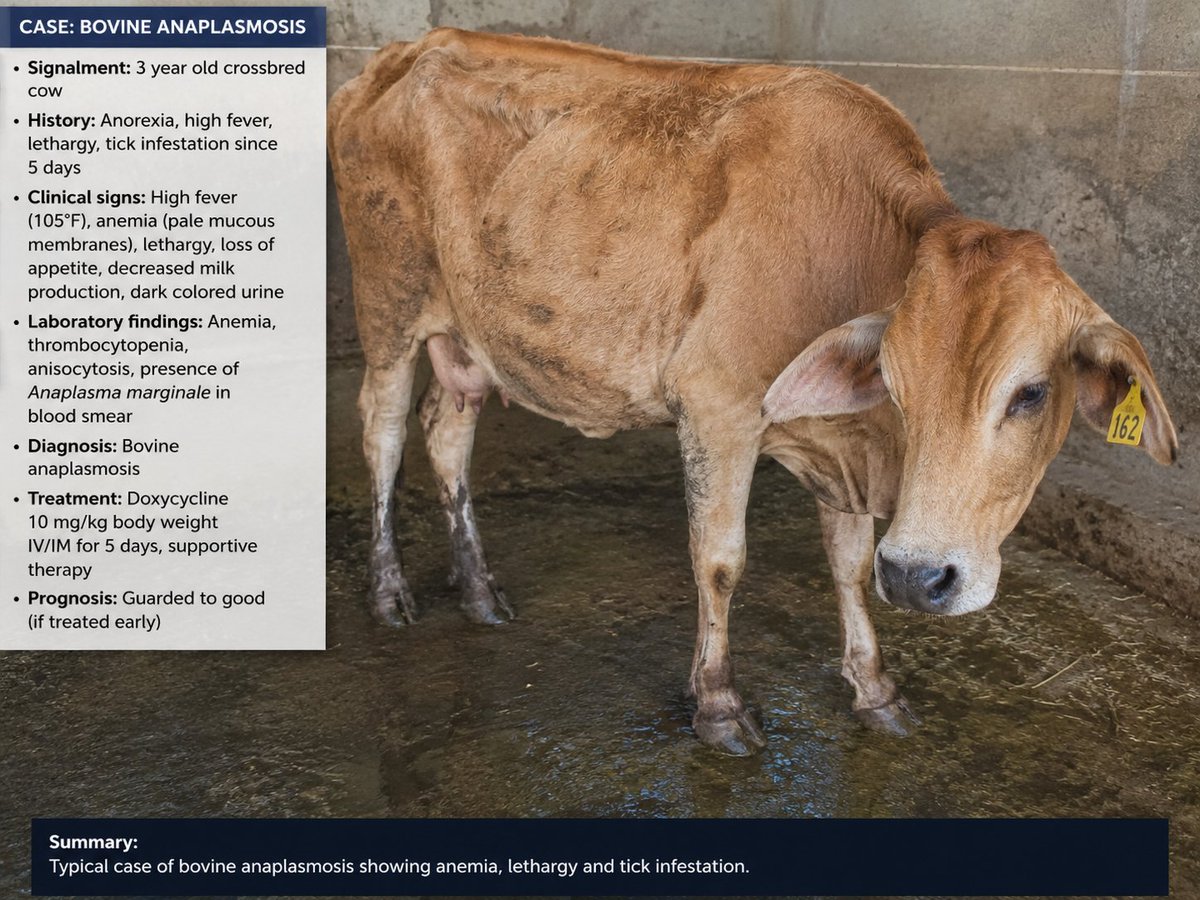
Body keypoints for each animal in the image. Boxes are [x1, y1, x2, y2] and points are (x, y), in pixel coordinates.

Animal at [328, 29, 1178, 756]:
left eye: (1031, 393)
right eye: (896, 381)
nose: (918, 577)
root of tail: (405, 50)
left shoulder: (839, 450)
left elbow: (847, 564)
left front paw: (875, 689)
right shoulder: (717, 409)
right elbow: (720, 562)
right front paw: (718, 704)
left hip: (470, 335)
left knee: (447, 433)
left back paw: (477, 588)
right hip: (389, 301)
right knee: (383, 430)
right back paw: (390, 591)